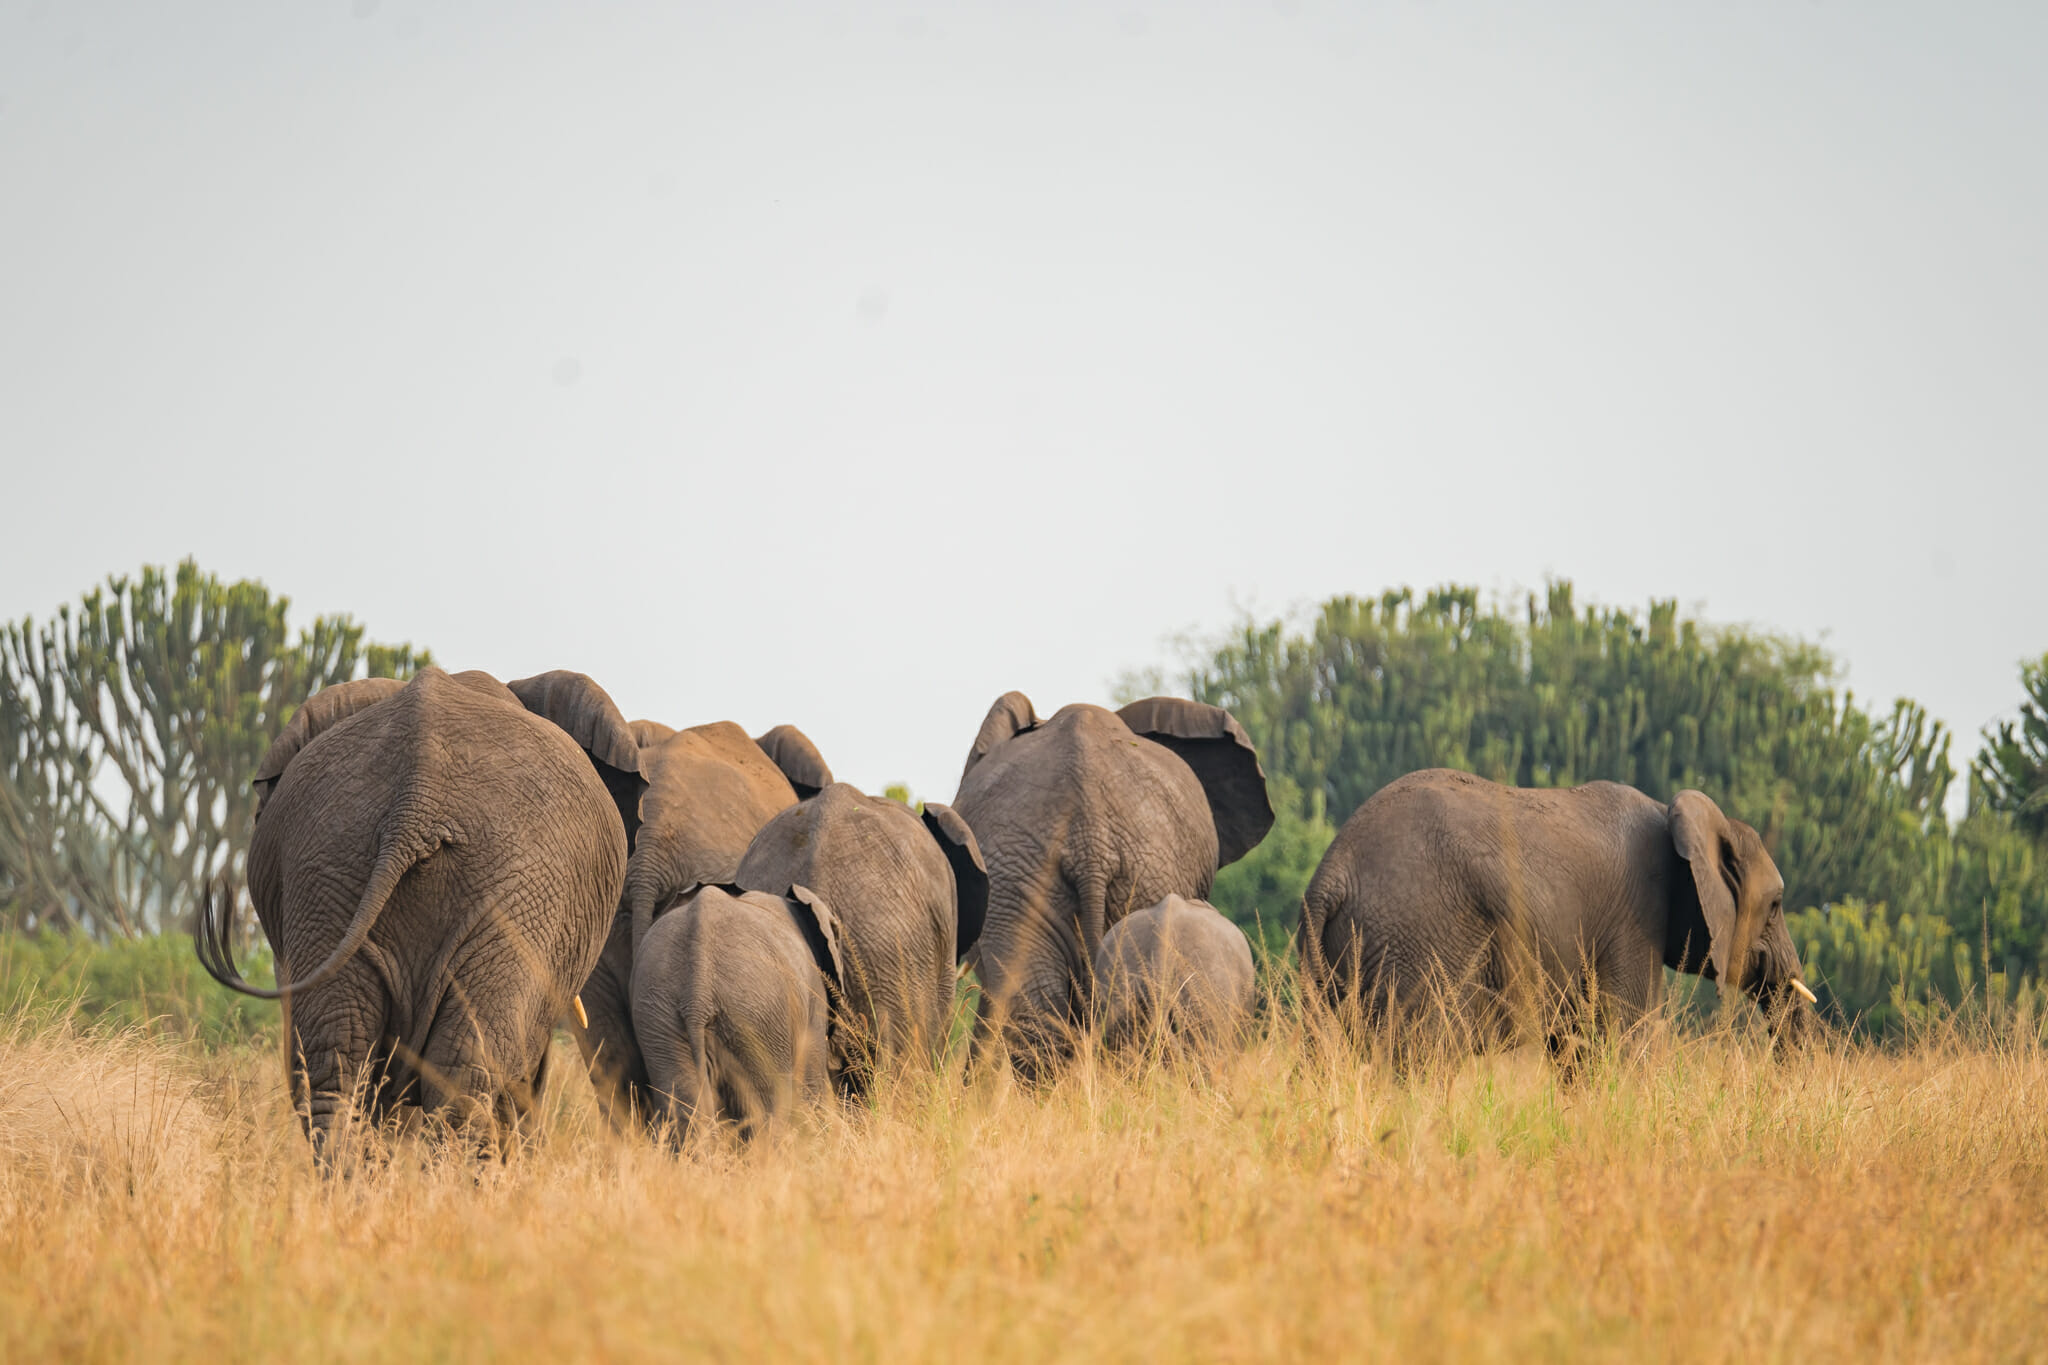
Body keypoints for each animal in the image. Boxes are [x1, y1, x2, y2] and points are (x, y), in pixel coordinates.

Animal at [630, 882, 845, 1141]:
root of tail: (697, 989)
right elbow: (811, 1086)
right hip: (756, 1020)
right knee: (765, 1115)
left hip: (658, 1017)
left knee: (684, 1111)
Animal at [1296, 768, 1819, 1060]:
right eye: (1776, 906)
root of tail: (1329, 876)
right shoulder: (1634, 920)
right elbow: (1620, 1038)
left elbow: (1575, 1045)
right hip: (1419, 942)